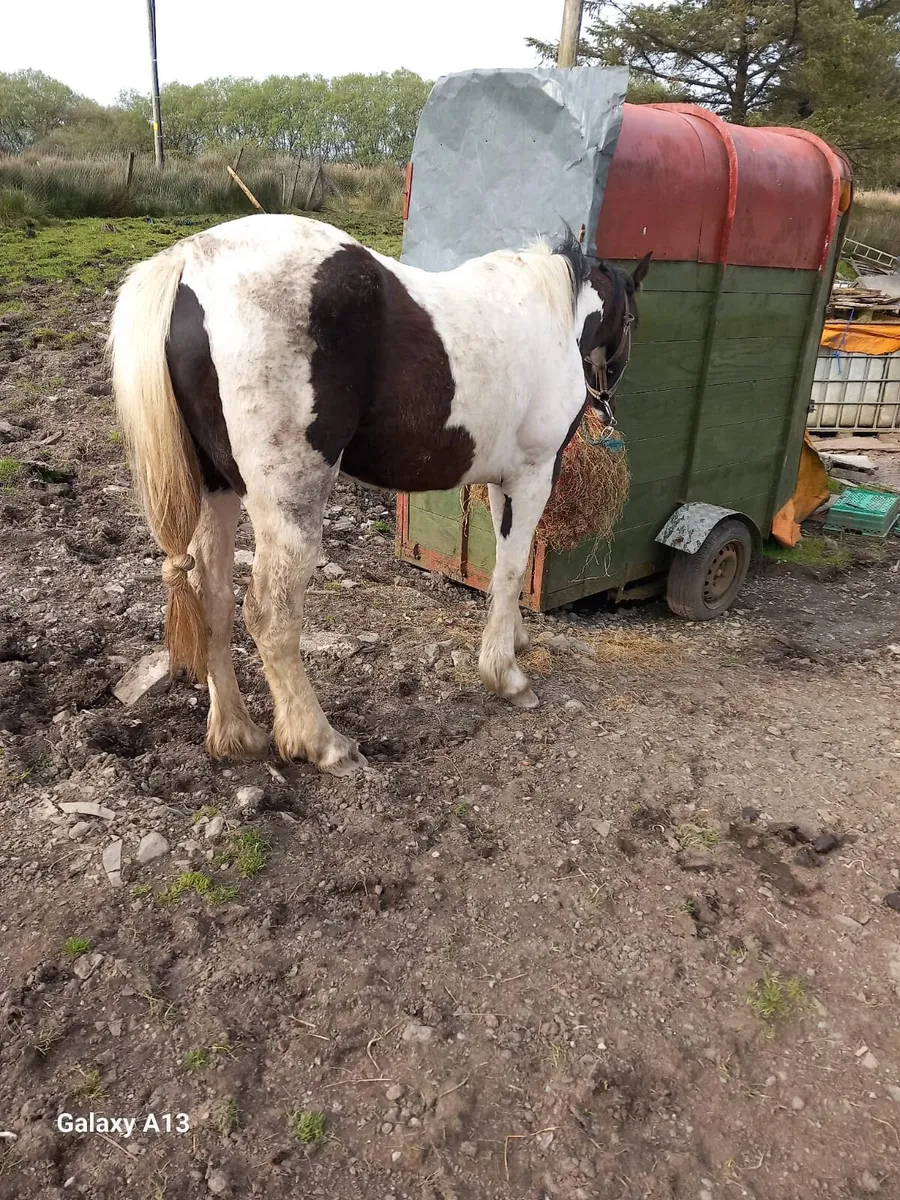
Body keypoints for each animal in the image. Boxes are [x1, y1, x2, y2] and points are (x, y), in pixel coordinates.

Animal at [109, 214, 650, 775]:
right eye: (632, 320)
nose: (608, 399)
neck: (551, 312)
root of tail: (189, 262)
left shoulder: (503, 481)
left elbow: (505, 565)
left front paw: (515, 640)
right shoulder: (534, 474)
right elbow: (511, 568)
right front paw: (507, 676)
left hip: (216, 491)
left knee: (212, 599)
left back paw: (236, 734)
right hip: (289, 509)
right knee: (269, 617)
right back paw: (323, 743)